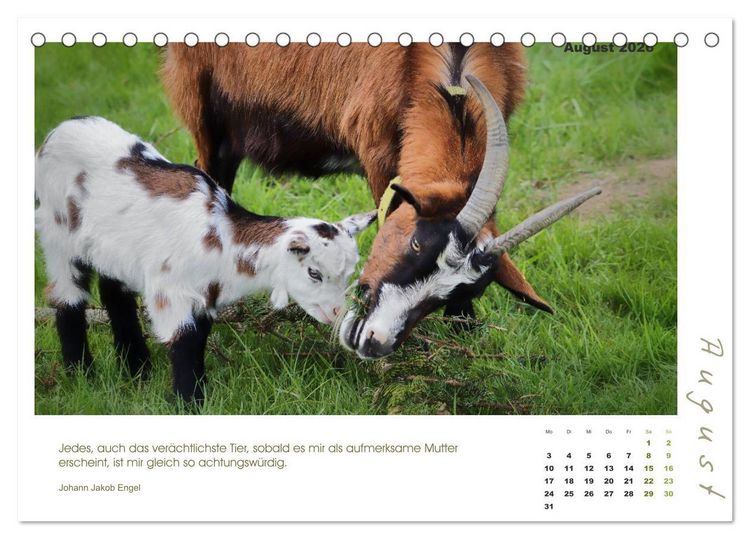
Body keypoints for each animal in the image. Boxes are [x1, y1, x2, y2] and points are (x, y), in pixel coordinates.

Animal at [36, 116, 375, 402]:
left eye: (347, 275)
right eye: (314, 273)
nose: (336, 312)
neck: (221, 237)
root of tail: (59, 130)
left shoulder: (206, 294)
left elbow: (198, 338)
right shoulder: (169, 291)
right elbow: (183, 340)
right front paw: (188, 403)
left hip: (115, 247)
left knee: (115, 295)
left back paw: (136, 370)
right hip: (58, 234)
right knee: (67, 297)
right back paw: (81, 374)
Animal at [162, 43, 599, 358]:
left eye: (461, 292)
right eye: (418, 243)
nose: (376, 341)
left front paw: (463, 343)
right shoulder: (377, 156)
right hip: (205, 111)